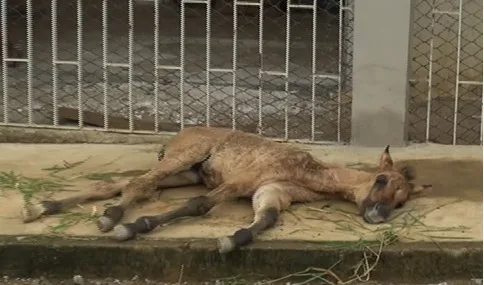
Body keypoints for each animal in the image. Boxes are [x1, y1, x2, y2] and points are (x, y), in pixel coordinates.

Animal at [22, 126, 432, 253]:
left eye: (401, 202)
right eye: (381, 180)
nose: (377, 215)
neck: (310, 173)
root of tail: (182, 132)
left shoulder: (271, 191)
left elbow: (264, 220)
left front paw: (230, 240)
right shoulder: (243, 180)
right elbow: (200, 205)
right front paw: (136, 228)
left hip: (186, 173)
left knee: (121, 183)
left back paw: (42, 207)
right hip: (183, 158)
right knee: (140, 183)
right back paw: (111, 220)